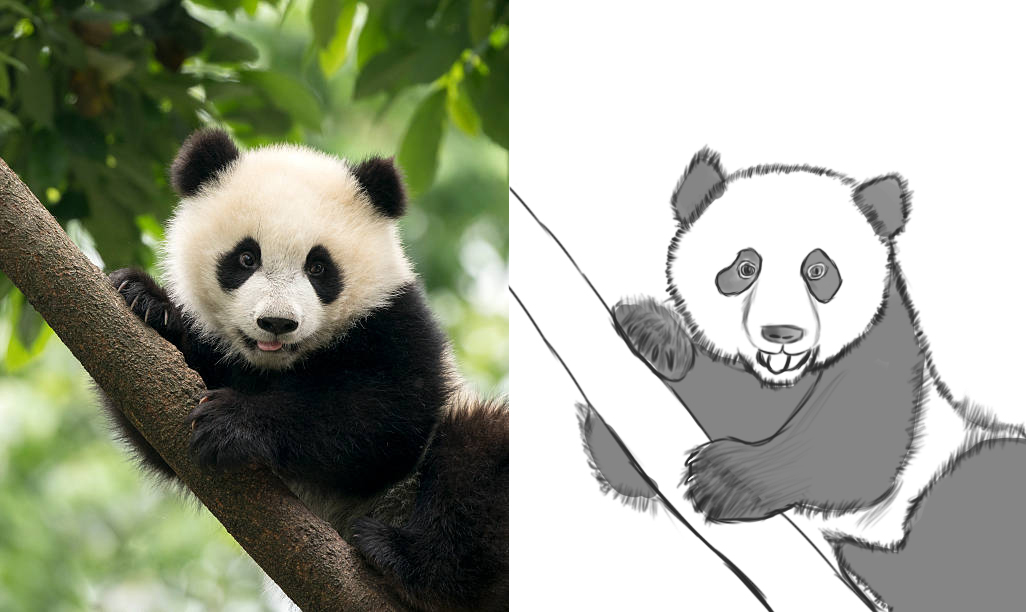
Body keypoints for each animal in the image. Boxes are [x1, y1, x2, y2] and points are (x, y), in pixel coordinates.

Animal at [102, 128, 509, 612]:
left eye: (318, 267)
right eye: (246, 258)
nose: (277, 322)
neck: (280, 365)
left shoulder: (396, 322)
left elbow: (388, 419)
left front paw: (233, 422)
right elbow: (156, 424)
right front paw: (146, 301)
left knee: (477, 454)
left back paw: (402, 559)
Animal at [581, 148, 1026, 611]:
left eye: (817, 270)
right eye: (745, 267)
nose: (782, 333)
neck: (783, 377)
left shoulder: (885, 343)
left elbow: (855, 446)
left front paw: (723, 481)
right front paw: (652, 333)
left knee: (979, 487)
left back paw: (867, 560)